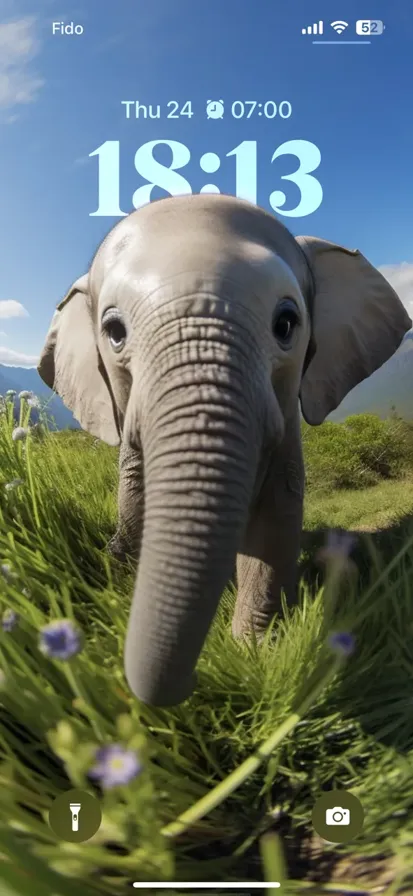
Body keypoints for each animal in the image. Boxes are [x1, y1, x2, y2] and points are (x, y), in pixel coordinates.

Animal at [37, 194, 408, 708]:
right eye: (114, 331)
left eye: (286, 324)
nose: (198, 681)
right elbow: (136, 500)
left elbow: (276, 511)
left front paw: (251, 654)